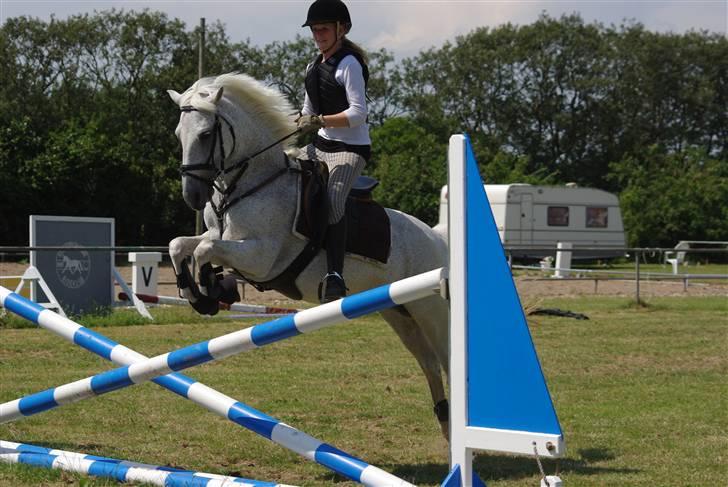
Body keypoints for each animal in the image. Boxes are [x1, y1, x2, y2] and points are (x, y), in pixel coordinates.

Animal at [167, 73, 451, 436]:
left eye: (205, 135)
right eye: (179, 134)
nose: (193, 196)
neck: (252, 181)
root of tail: (436, 237)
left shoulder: (259, 257)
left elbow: (204, 251)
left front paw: (210, 291)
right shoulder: (219, 237)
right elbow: (180, 244)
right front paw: (199, 294)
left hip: (429, 309)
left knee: (446, 358)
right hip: (399, 312)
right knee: (429, 362)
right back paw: (445, 422)